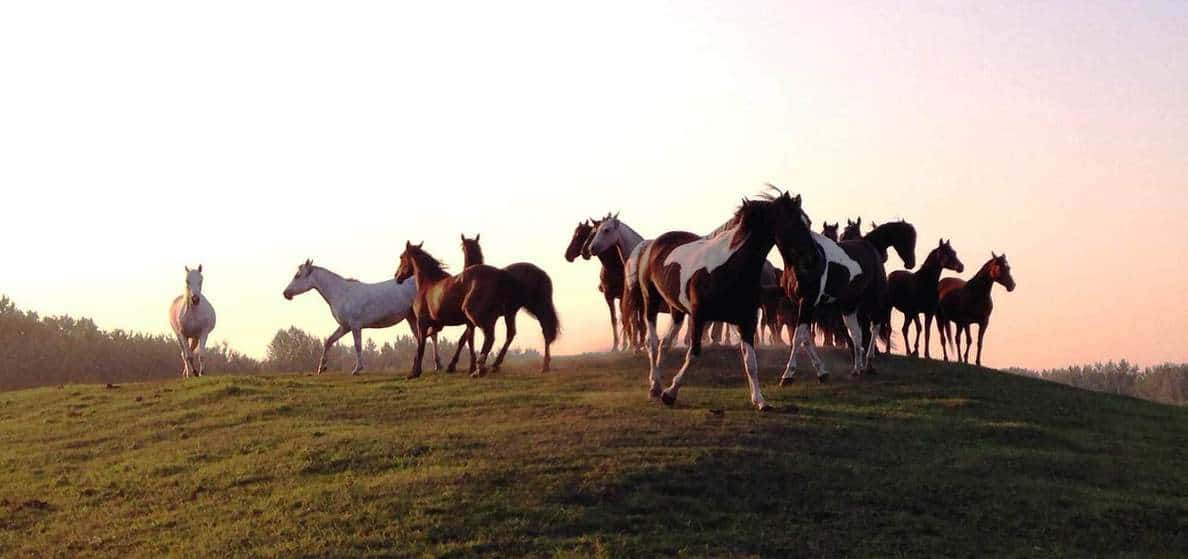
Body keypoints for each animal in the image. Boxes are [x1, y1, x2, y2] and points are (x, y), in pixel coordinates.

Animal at [282, 261, 441, 377]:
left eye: (297, 275)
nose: (286, 293)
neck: (342, 293)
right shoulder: (345, 327)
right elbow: (329, 341)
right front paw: (322, 367)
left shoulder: (355, 326)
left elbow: (357, 346)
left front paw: (357, 369)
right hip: (411, 317)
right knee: (422, 338)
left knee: (432, 336)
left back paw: (437, 365)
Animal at [392, 243, 553, 377]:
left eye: (401, 257)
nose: (397, 277)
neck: (429, 283)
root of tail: (501, 274)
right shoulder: (457, 324)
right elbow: (467, 341)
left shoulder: (423, 322)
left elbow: (421, 344)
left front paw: (415, 372)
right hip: (501, 315)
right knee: (507, 335)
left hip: (482, 316)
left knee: (491, 337)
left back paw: (481, 369)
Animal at [774, 218, 912, 384]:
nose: (911, 263)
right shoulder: (805, 306)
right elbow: (805, 338)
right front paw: (820, 372)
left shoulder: (808, 303)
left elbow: (799, 338)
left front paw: (788, 374)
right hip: (850, 306)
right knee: (858, 333)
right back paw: (858, 367)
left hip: (873, 302)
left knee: (874, 328)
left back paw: (867, 362)